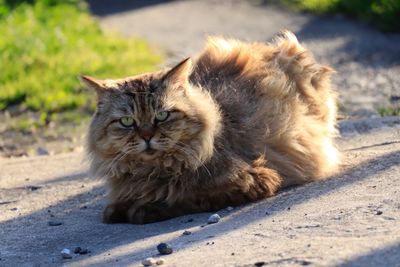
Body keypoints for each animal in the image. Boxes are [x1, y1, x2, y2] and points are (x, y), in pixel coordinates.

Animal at [82, 30, 340, 224]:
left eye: (162, 116)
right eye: (127, 121)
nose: (147, 136)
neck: (153, 170)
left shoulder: (253, 180)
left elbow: (183, 196)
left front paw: (142, 208)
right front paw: (120, 206)